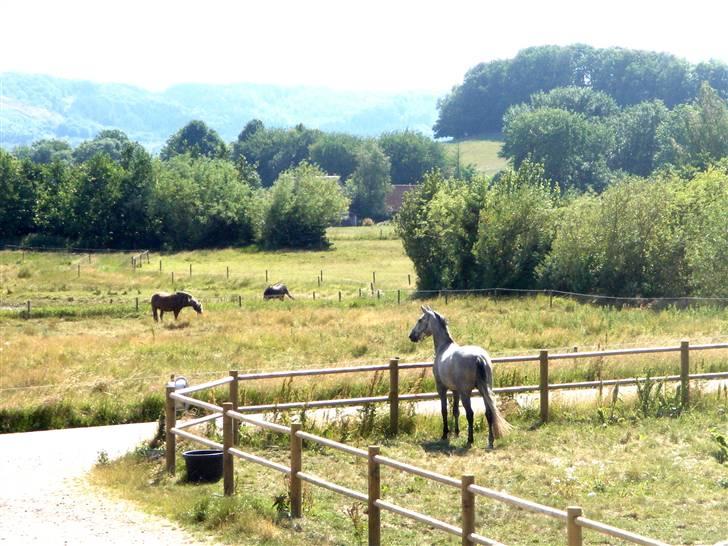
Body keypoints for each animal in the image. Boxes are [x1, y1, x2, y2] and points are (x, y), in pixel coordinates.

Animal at [410, 304, 512, 448]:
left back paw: (470, 440)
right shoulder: (455, 390)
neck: (444, 347)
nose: (411, 336)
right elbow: (455, 411)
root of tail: (479, 357)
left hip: (466, 393)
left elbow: (444, 411)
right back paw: (490, 441)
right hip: (484, 390)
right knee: (489, 413)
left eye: (420, 320)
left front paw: (445, 434)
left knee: (470, 414)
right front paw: (456, 433)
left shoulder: (442, 388)